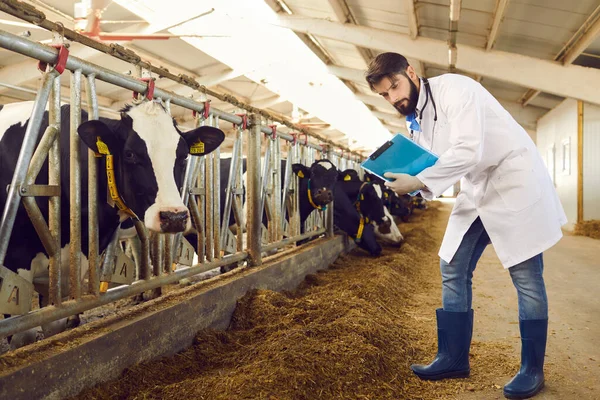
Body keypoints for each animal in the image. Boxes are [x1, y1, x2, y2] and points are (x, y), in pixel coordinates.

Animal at [0, 100, 225, 346]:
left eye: (183, 156)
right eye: (129, 154)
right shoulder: (16, 268)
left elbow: (53, 325)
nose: (173, 217)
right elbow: (25, 335)